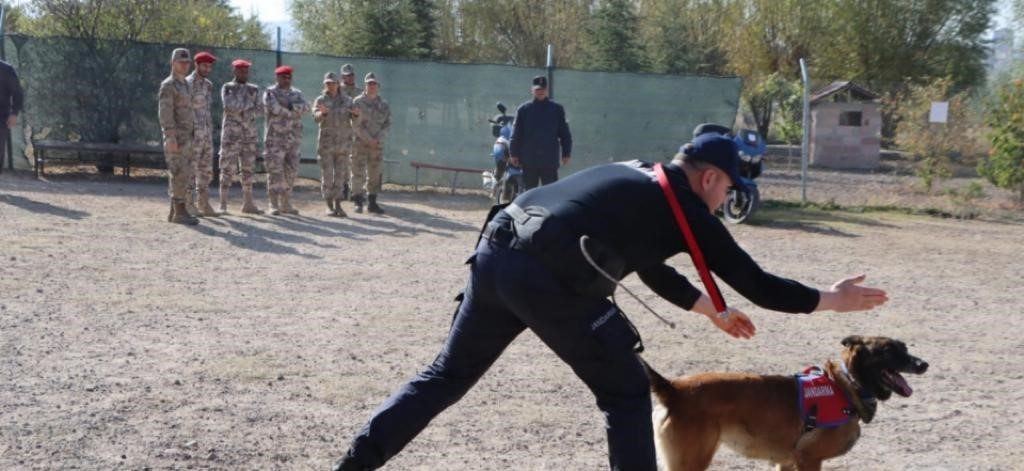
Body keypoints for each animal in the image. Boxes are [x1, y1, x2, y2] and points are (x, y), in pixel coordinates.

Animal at [647, 335, 929, 471]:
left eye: (905, 347)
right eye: (888, 350)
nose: (923, 364)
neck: (846, 384)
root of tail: (674, 389)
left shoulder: (786, 462)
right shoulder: (809, 459)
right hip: (691, 462)